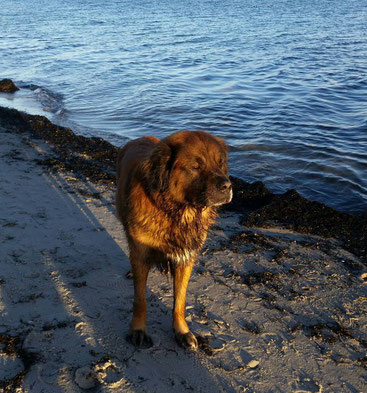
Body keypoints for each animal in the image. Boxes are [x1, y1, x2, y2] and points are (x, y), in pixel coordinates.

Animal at [115, 130, 233, 348]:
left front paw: (182, 331)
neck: (175, 212)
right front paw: (138, 330)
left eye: (220, 163)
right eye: (196, 166)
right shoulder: (141, 254)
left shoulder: (185, 257)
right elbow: (140, 300)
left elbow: (180, 300)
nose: (227, 185)